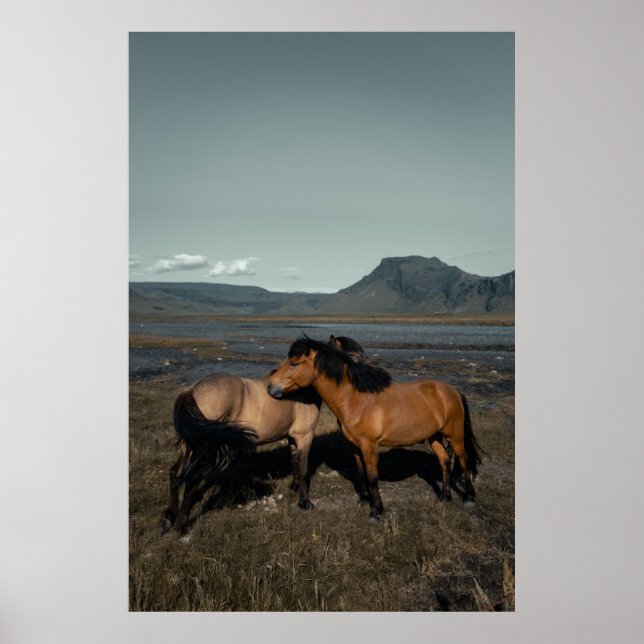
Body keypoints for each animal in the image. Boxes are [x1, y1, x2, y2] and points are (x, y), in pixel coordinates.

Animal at [159, 335, 365, 534]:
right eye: (353, 358)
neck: (301, 391)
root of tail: (193, 390)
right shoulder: (305, 437)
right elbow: (304, 468)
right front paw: (305, 502)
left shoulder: (292, 438)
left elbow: (295, 462)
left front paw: (294, 486)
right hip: (205, 449)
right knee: (191, 481)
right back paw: (181, 524)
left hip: (190, 445)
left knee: (175, 474)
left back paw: (168, 518)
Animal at [267, 336, 484, 521]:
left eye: (293, 363)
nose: (270, 386)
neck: (356, 400)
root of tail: (453, 391)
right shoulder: (355, 446)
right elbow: (361, 473)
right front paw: (365, 501)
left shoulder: (369, 445)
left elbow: (372, 477)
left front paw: (376, 511)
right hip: (435, 437)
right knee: (445, 462)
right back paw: (445, 496)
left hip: (455, 436)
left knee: (463, 461)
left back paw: (469, 497)